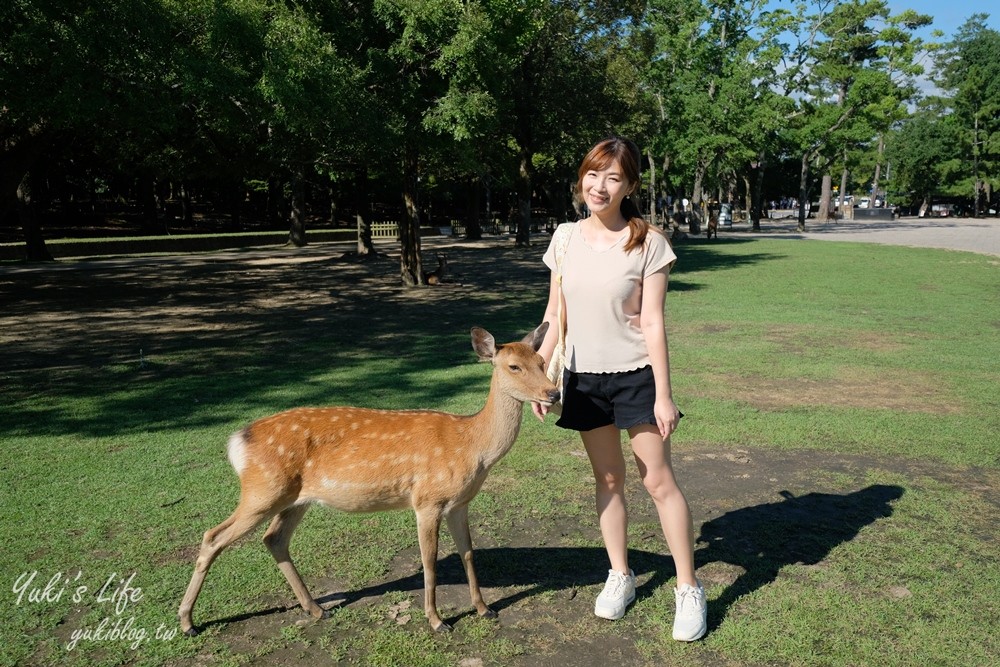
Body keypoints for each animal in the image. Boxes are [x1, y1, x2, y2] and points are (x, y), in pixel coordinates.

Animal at [176, 324, 560, 636]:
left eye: (542, 361)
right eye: (513, 366)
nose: (553, 393)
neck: (472, 447)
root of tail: (238, 441)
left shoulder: (459, 503)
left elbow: (468, 553)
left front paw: (485, 609)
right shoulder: (426, 499)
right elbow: (430, 561)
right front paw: (437, 621)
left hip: (294, 499)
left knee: (274, 539)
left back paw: (316, 609)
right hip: (262, 489)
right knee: (213, 536)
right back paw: (187, 623)